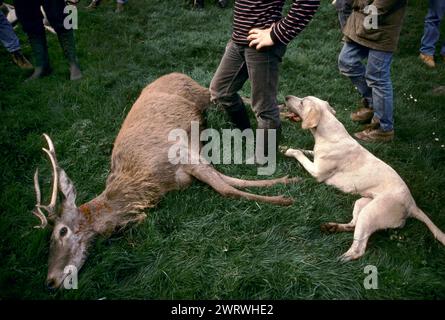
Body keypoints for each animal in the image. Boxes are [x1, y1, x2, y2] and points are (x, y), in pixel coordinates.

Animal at [282, 96, 442, 262]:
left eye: (302, 102)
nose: (286, 97)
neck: (328, 132)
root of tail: (412, 204)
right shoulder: (315, 157)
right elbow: (306, 150)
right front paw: (285, 147)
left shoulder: (317, 172)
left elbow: (299, 154)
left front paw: (289, 151)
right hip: (361, 203)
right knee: (353, 225)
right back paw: (332, 227)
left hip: (370, 213)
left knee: (358, 249)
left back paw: (339, 259)